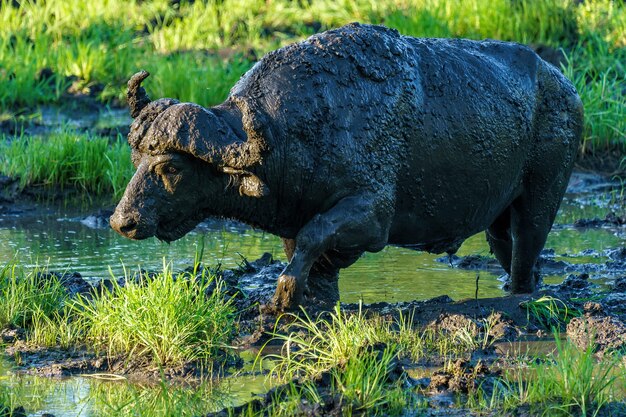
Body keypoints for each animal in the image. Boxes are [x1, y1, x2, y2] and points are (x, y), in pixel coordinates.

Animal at [109, 22, 584, 308]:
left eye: (171, 168)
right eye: (136, 158)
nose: (122, 221)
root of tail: (564, 86)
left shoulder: (372, 215)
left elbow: (314, 235)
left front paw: (282, 297)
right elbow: (308, 254)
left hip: (540, 201)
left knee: (527, 253)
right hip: (497, 219)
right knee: (513, 255)